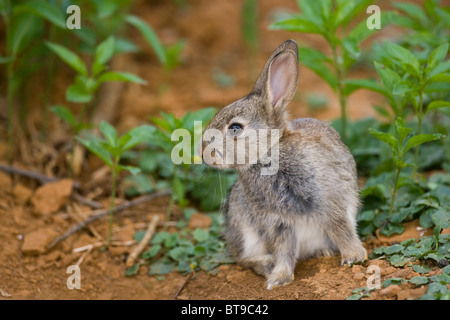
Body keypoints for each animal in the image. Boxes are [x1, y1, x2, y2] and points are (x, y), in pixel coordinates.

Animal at [200, 40, 366, 290]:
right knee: (244, 259)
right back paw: (266, 264)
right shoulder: (276, 222)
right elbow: (283, 250)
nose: (203, 154)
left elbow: (341, 228)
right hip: (244, 228)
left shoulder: (329, 200)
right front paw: (278, 278)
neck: (269, 152)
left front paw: (354, 257)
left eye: (235, 128)